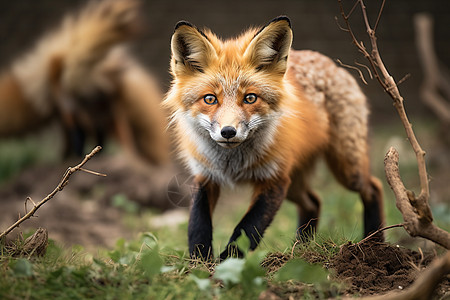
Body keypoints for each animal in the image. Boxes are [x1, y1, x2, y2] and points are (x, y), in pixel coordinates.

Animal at [163, 17, 384, 260]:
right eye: (210, 99)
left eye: (250, 98)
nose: (228, 132)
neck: (232, 164)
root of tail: (331, 63)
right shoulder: (205, 175)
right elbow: (197, 223)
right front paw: (199, 262)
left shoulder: (274, 179)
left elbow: (247, 228)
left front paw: (227, 262)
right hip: (294, 181)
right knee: (313, 201)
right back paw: (302, 249)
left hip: (346, 168)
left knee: (373, 187)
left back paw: (375, 243)